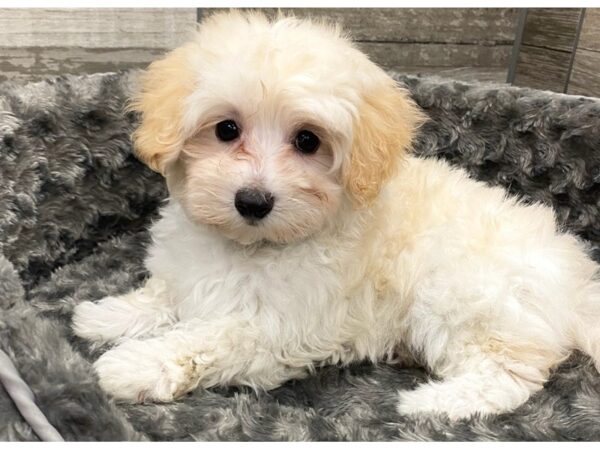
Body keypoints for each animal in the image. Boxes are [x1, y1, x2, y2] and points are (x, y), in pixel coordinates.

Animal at [72, 10, 600, 418]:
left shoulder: (276, 326)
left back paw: (432, 404)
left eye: (308, 140)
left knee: (509, 374)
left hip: (465, 295)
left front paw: (134, 365)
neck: (251, 247)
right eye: (226, 129)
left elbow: (207, 339)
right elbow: (165, 294)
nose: (253, 201)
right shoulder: (191, 274)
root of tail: (576, 282)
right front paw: (105, 314)